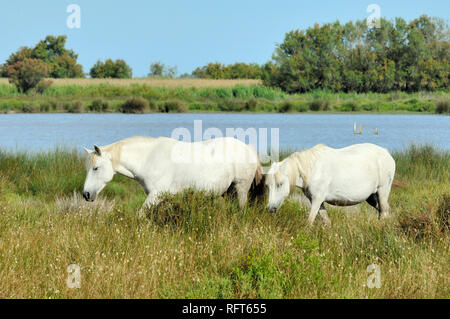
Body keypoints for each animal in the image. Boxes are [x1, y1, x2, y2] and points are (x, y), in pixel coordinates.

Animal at [82, 135, 264, 215]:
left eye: (96, 168)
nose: (86, 194)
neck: (150, 158)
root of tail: (249, 149)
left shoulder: (155, 195)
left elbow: (140, 214)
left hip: (240, 189)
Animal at [266, 144, 396, 226]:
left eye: (280, 184)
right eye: (268, 186)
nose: (270, 209)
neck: (313, 170)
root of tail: (387, 153)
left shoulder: (317, 200)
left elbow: (309, 221)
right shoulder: (317, 201)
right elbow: (326, 221)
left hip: (382, 191)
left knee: (384, 212)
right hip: (372, 197)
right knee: (384, 212)